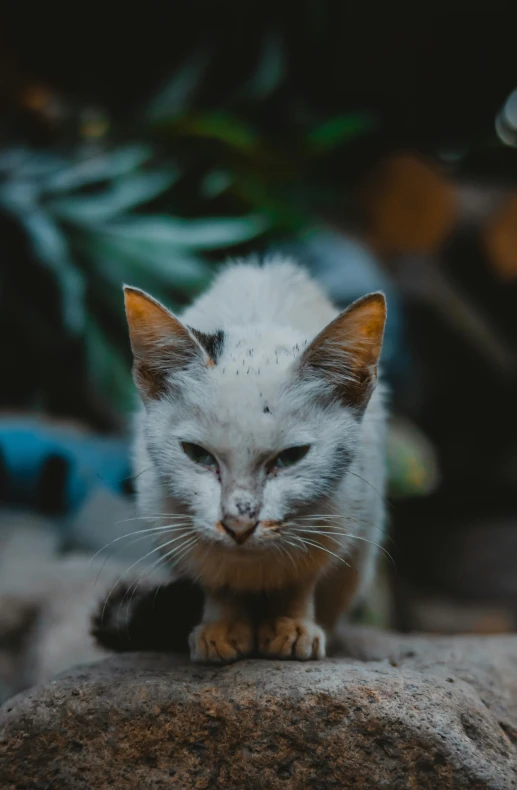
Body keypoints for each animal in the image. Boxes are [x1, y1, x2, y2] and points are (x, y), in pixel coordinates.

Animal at [123, 258, 384, 664]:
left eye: (291, 457)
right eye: (197, 454)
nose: (238, 524)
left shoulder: (341, 519)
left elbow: (300, 581)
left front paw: (293, 626)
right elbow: (217, 581)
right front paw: (222, 627)